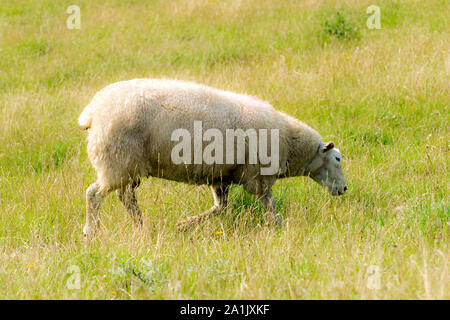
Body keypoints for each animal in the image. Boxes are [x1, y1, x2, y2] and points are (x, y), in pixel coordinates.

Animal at [78, 79, 348, 236]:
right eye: (337, 159)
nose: (344, 189)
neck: (290, 144)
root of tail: (93, 111)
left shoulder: (222, 176)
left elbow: (221, 207)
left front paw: (184, 225)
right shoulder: (258, 177)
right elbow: (270, 206)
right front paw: (282, 227)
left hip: (126, 165)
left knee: (126, 198)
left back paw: (142, 227)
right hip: (116, 159)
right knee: (94, 194)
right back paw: (91, 231)